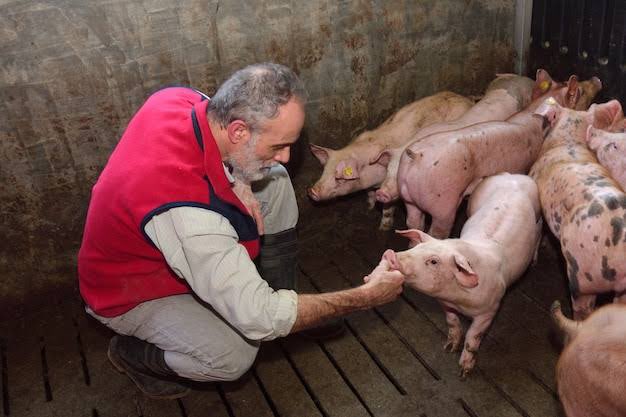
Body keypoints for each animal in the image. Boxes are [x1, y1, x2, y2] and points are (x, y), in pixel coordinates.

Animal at [304, 90, 470, 231]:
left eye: (339, 178)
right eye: (324, 171)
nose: (312, 191)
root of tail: (466, 99)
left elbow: (388, 207)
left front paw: (383, 228)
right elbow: (369, 193)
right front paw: (369, 207)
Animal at [380, 174, 540, 376]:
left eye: (434, 261)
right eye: (416, 248)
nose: (390, 254)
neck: (460, 300)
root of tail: (513, 176)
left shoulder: (490, 309)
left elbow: (473, 336)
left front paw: (464, 371)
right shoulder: (445, 303)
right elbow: (452, 322)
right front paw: (449, 347)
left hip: (539, 215)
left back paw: (534, 261)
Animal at [394, 75, 584, 237]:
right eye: (577, 95)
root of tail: (415, 156)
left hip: (408, 199)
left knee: (413, 222)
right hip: (443, 201)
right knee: (437, 230)